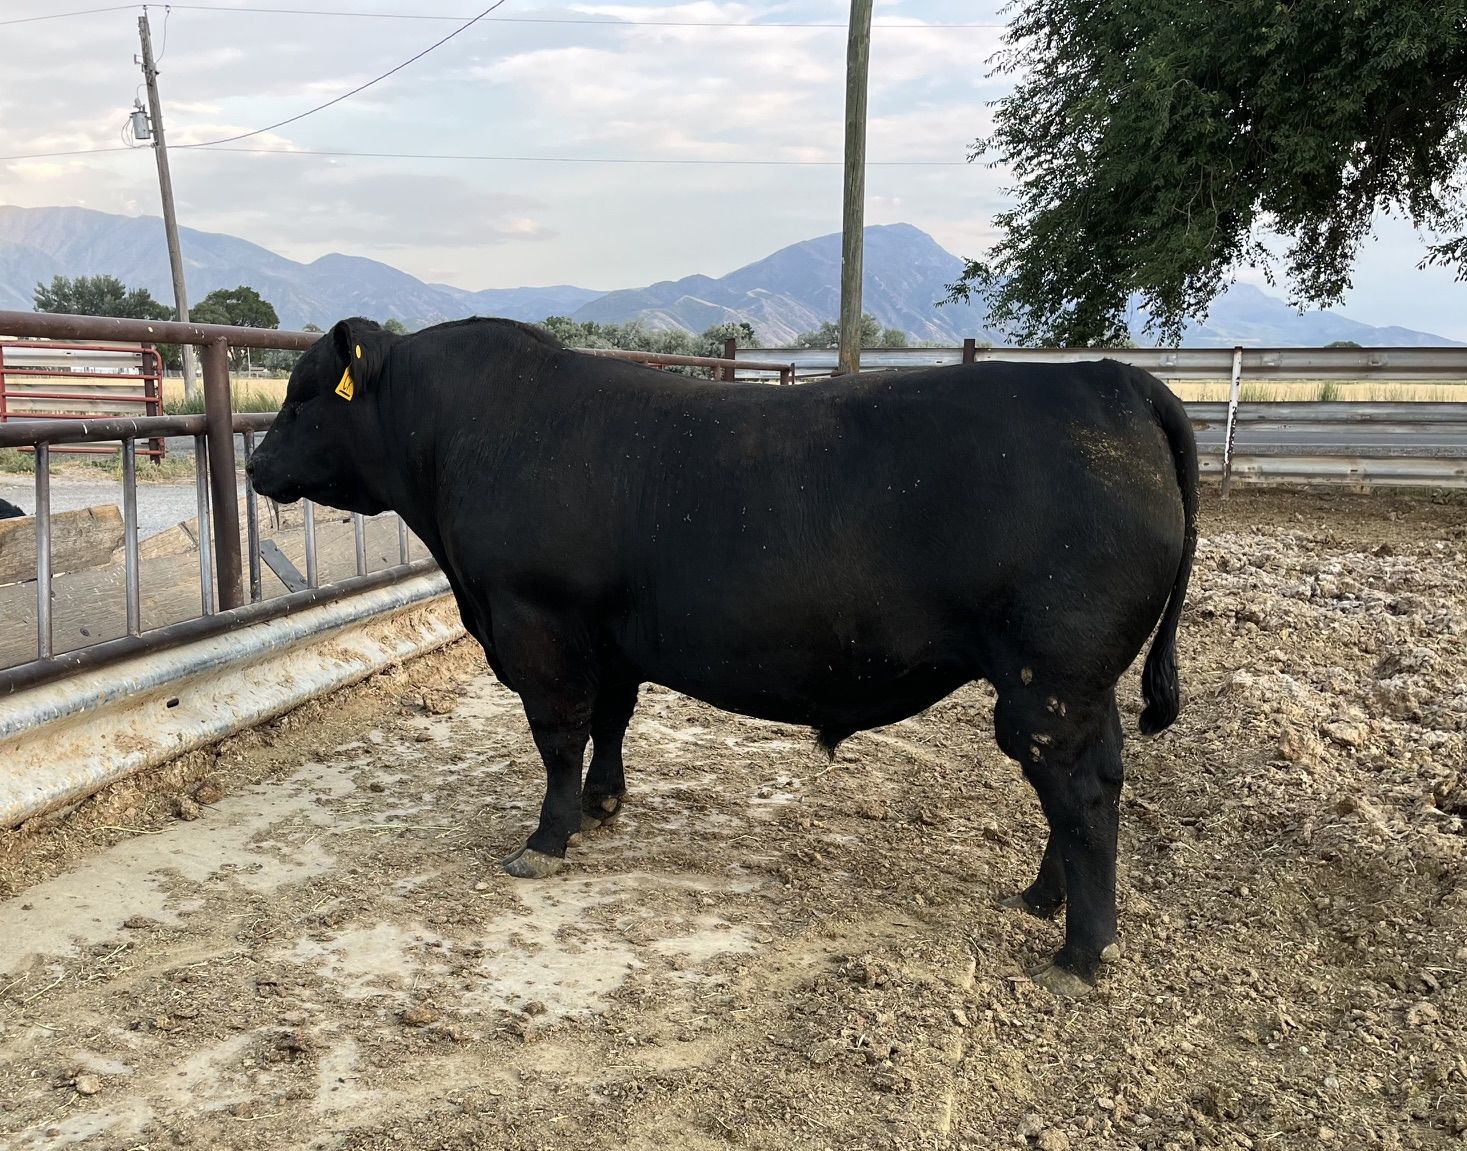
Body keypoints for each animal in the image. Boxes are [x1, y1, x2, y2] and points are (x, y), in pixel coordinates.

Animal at [248, 317, 1198, 995]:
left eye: (302, 398)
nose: (255, 464)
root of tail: (1110, 377)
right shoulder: (609, 638)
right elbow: (611, 721)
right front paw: (603, 804)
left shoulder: (536, 625)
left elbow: (557, 734)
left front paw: (545, 838)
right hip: (1072, 682)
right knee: (1082, 786)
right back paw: (1043, 898)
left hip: (1051, 676)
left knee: (1078, 789)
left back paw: (1078, 950)